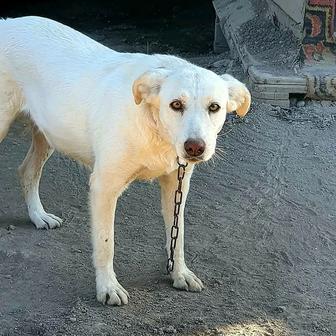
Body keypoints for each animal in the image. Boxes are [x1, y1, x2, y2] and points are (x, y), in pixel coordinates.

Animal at [0, 16, 251, 304]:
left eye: (214, 107)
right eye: (176, 104)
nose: (195, 148)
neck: (156, 130)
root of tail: (7, 22)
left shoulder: (177, 183)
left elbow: (177, 235)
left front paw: (179, 273)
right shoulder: (103, 186)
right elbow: (106, 243)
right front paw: (108, 287)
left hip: (48, 133)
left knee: (27, 171)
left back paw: (38, 216)